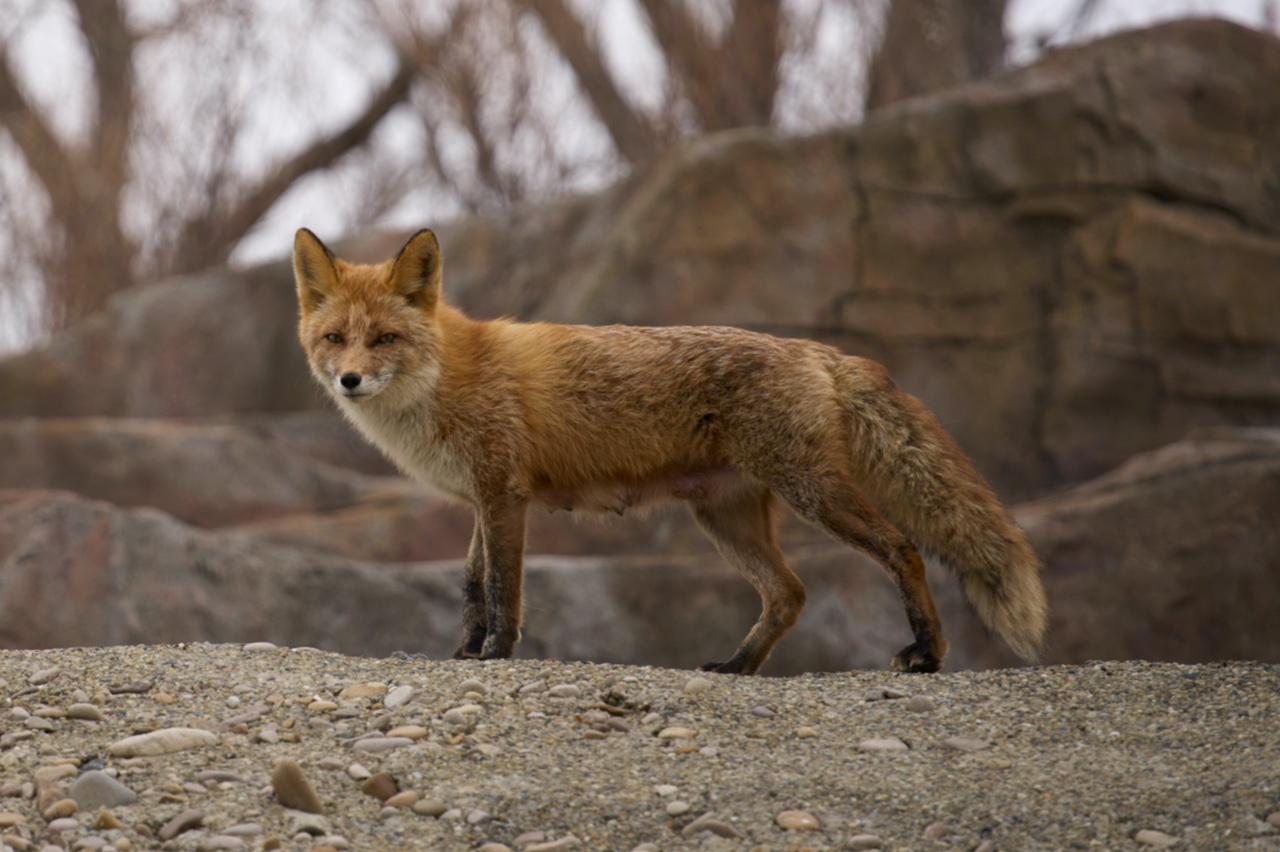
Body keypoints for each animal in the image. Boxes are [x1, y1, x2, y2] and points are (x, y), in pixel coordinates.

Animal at [293, 228, 1049, 675]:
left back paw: (928, 651)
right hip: (725, 518)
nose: (350, 380)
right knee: (791, 592)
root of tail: (818, 350)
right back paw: (737, 666)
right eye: (336, 339)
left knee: (902, 548)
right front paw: (461, 652)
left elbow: (506, 591)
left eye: (384, 339)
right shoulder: (482, 499)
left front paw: (495, 657)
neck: (446, 377)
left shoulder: (504, 494)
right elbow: (473, 586)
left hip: (812, 493)